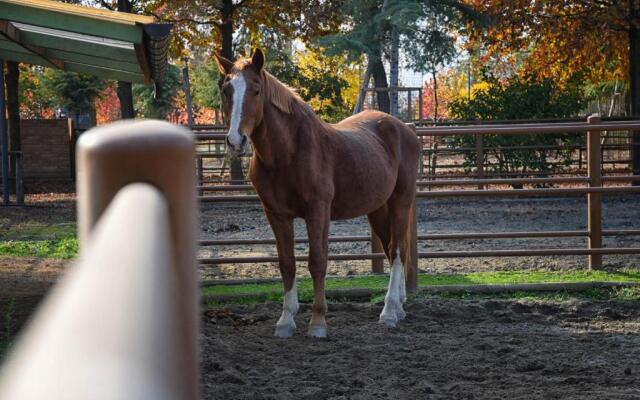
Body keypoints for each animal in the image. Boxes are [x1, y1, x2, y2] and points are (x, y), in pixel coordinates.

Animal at [215, 49, 420, 338]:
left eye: (256, 90)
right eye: (226, 90)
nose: (236, 140)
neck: (288, 153)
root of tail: (404, 128)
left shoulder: (317, 212)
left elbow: (317, 262)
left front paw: (318, 323)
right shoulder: (276, 215)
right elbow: (287, 263)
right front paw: (285, 321)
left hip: (400, 201)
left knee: (398, 249)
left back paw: (389, 311)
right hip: (378, 209)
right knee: (392, 251)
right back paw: (399, 307)